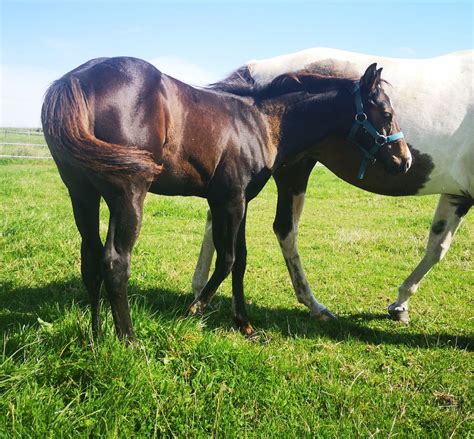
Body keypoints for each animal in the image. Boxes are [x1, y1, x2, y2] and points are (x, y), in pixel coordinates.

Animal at [41, 56, 412, 340]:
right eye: (386, 112)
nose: (405, 160)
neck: (261, 123)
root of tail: (75, 80)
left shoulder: (240, 202)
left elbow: (242, 259)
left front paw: (244, 324)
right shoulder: (230, 201)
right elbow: (227, 259)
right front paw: (194, 309)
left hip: (82, 194)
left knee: (90, 258)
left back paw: (96, 335)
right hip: (128, 194)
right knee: (115, 261)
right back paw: (129, 340)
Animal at [193, 48, 474, 324]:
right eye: (387, 114)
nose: (406, 161)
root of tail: (256, 68)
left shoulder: (457, 195)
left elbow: (437, 247)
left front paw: (400, 304)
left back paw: (199, 288)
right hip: (293, 172)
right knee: (285, 230)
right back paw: (312, 304)